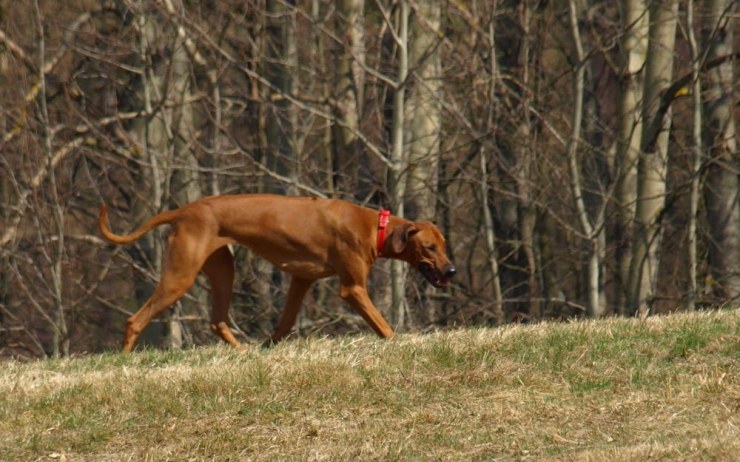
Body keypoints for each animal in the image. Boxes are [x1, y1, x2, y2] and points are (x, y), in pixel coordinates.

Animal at [97, 193, 456, 352]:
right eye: (429, 248)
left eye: (443, 244)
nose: (451, 270)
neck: (375, 227)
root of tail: (183, 210)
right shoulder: (352, 288)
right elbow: (382, 325)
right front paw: (400, 343)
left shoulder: (302, 279)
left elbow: (285, 323)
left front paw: (268, 346)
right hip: (180, 276)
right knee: (135, 320)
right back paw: (125, 359)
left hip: (223, 269)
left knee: (217, 320)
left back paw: (242, 352)